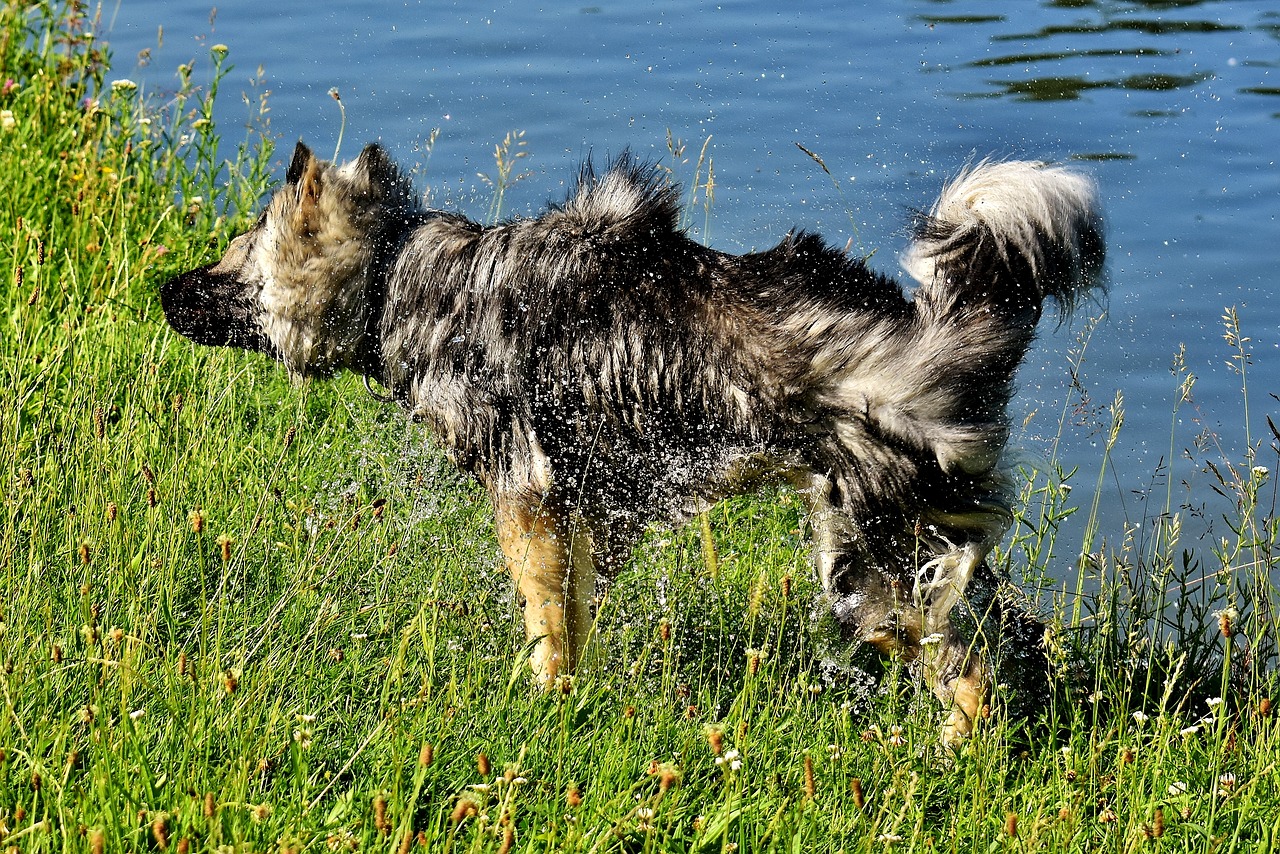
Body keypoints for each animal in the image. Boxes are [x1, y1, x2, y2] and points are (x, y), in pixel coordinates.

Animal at [157, 140, 1100, 742]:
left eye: (233, 257)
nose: (160, 286)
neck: (400, 276)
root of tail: (934, 330)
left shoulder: (527, 497)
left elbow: (544, 622)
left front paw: (541, 703)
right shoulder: (585, 511)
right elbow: (574, 613)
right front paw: (569, 693)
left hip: (876, 563)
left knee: (970, 669)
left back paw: (945, 759)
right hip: (888, 560)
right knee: (1002, 640)